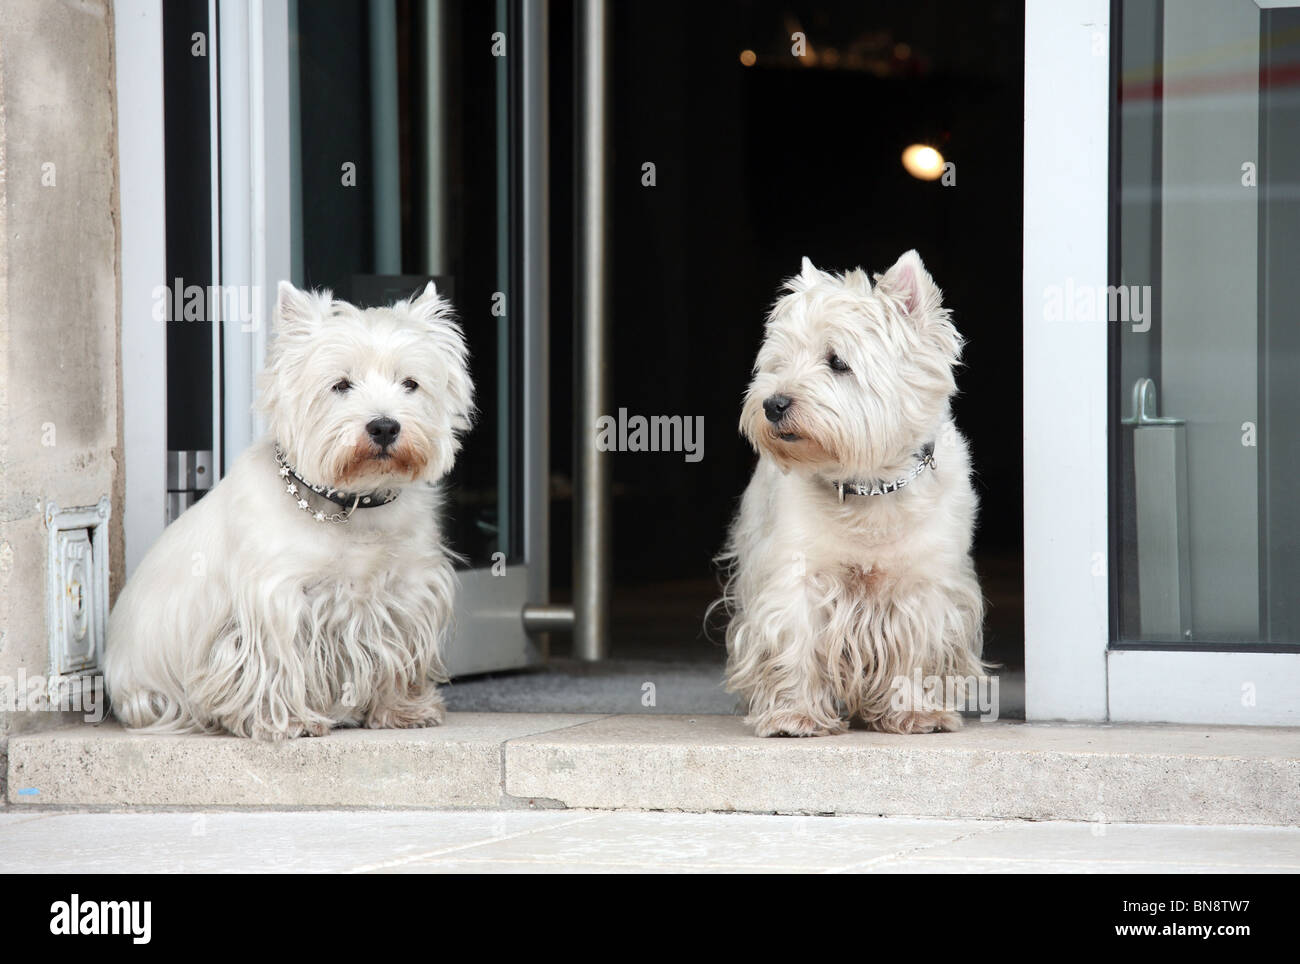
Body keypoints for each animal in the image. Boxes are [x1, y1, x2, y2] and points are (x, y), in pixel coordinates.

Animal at [104, 279, 475, 737]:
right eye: (341, 385)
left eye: (410, 383)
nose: (385, 426)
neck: (353, 505)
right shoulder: (274, 597)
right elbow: (275, 663)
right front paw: (286, 721)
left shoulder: (405, 588)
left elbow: (396, 649)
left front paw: (402, 709)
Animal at [722, 253, 982, 737]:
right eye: (778, 362)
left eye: (837, 361)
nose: (772, 404)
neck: (870, 486)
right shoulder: (798, 578)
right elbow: (794, 643)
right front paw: (795, 714)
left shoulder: (924, 586)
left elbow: (918, 647)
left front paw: (917, 711)